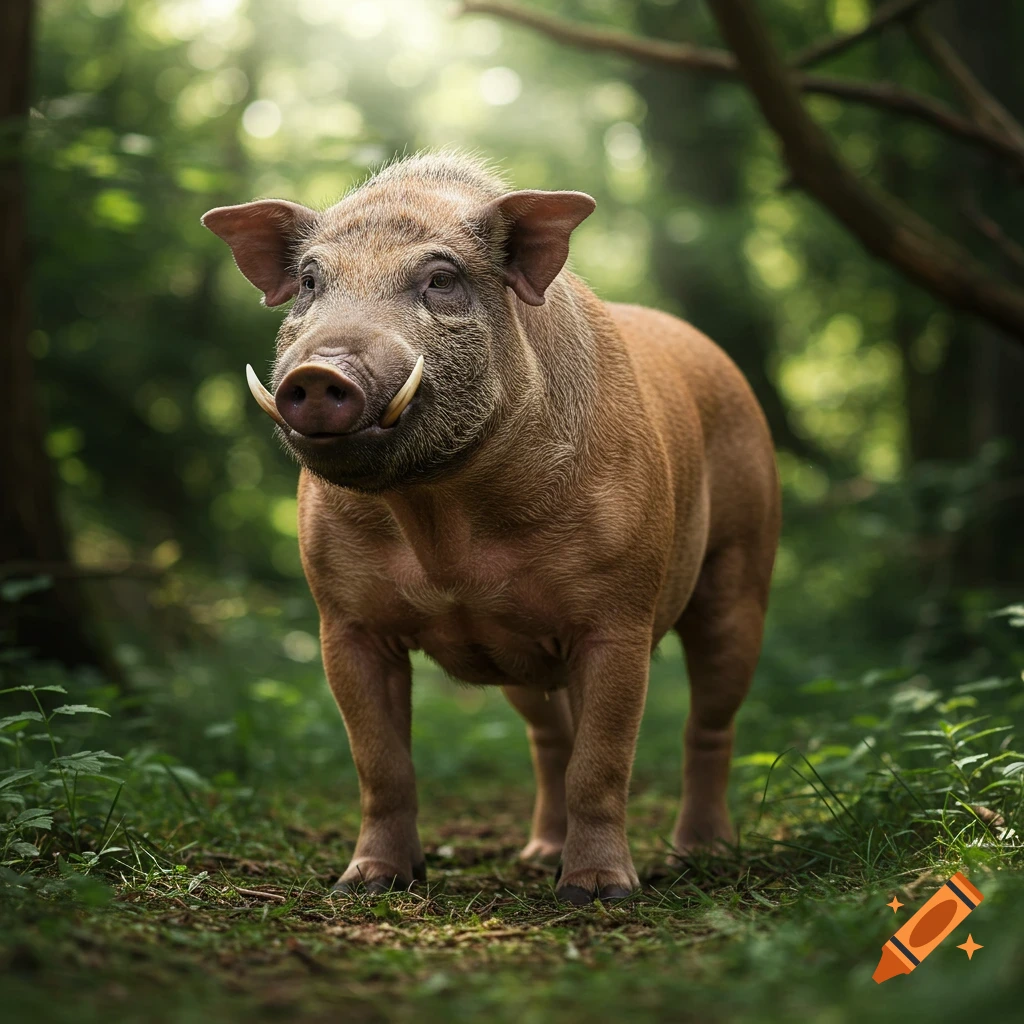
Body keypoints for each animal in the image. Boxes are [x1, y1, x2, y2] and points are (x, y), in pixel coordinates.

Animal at [202, 152, 780, 904]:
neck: (443, 524)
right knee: (550, 738)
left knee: (709, 721)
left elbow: (605, 760)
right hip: (521, 664)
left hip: (742, 571)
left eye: (441, 279)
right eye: (308, 281)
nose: (321, 371)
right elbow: (381, 763)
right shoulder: (343, 621)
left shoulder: (619, 616)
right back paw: (539, 856)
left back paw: (697, 857)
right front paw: (366, 883)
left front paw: (598, 893)